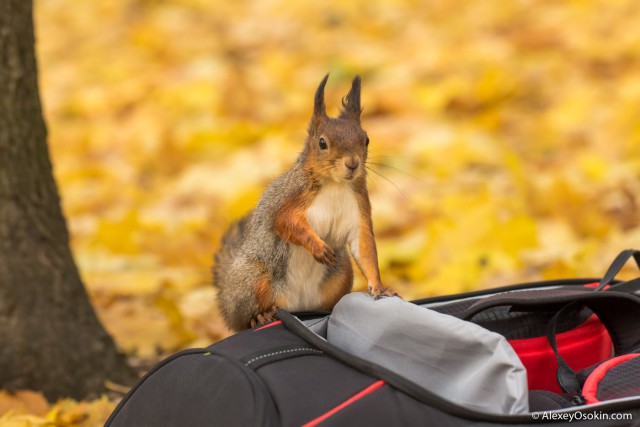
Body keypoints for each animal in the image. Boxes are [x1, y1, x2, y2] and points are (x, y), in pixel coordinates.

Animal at [212, 75, 398, 332]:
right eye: (322, 143)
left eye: (366, 139)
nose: (352, 164)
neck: (335, 184)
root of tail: (296, 307)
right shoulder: (291, 199)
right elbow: (286, 223)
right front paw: (318, 248)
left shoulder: (359, 208)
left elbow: (364, 248)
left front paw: (379, 287)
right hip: (254, 278)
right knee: (244, 317)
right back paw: (259, 316)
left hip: (340, 276)